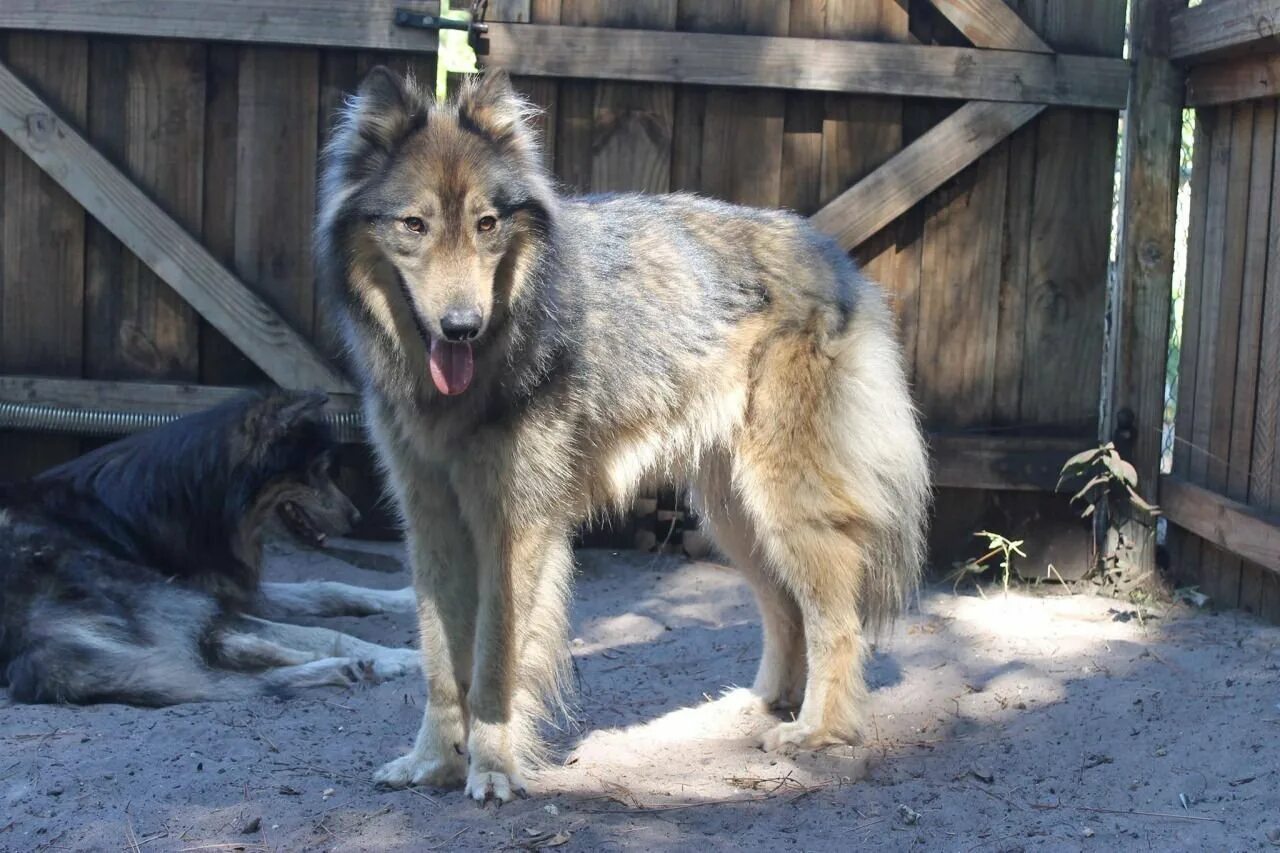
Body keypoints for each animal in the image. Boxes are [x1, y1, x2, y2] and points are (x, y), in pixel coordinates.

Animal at [0, 389, 417, 701]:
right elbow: (324, 629)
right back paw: (366, 663)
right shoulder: (212, 593)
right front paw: (398, 655)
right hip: (165, 594)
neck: (201, 499)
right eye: (317, 471)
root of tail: (28, 643)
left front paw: (405, 597)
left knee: (221, 660)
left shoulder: (234, 588)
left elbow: (330, 587)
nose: (358, 519)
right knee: (222, 653)